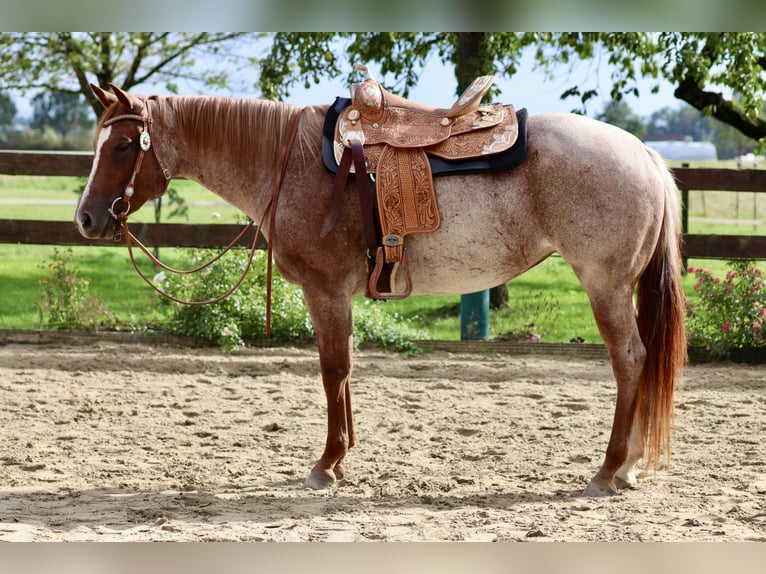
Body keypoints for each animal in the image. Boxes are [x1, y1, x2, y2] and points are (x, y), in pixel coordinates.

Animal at [74, 83, 686, 497]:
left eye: (124, 145)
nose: (85, 219)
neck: (288, 163)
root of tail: (646, 155)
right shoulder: (338, 296)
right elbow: (344, 371)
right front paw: (342, 459)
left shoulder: (324, 292)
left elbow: (333, 370)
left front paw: (326, 464)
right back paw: (629, 466)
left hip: (605, 286)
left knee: (630, 360)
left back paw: (610, 469)